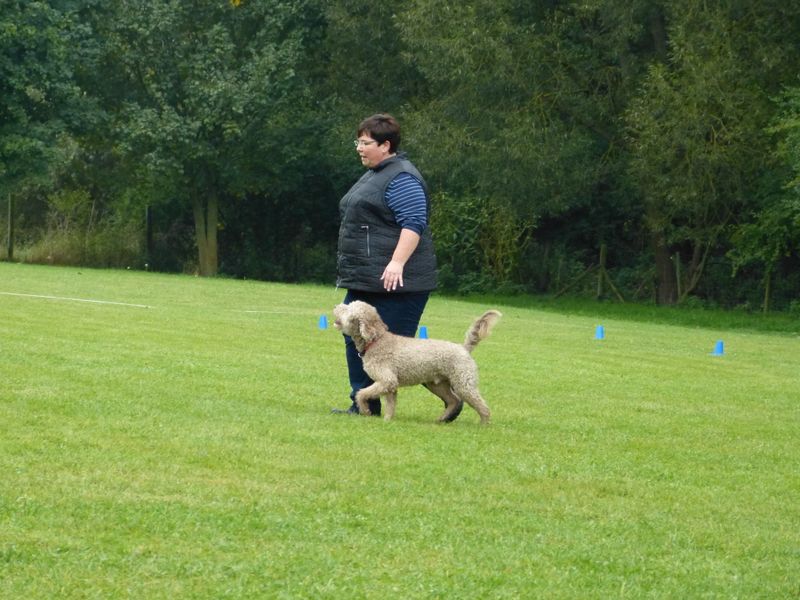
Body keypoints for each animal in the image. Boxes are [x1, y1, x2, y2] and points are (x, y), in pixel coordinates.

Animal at [332, 300, 501, 423]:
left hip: (463, 383)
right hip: (437, 384)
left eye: (347, 309)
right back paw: (441, 419)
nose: (335, 306)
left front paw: (365, 410)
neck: (376, 341)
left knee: (482, 406)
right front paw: (387, 421)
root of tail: (463, 348)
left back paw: (484, 424)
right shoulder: (390, 386)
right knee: (453, 400)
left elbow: (361, 393)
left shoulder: (387, 380)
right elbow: (390, 405)